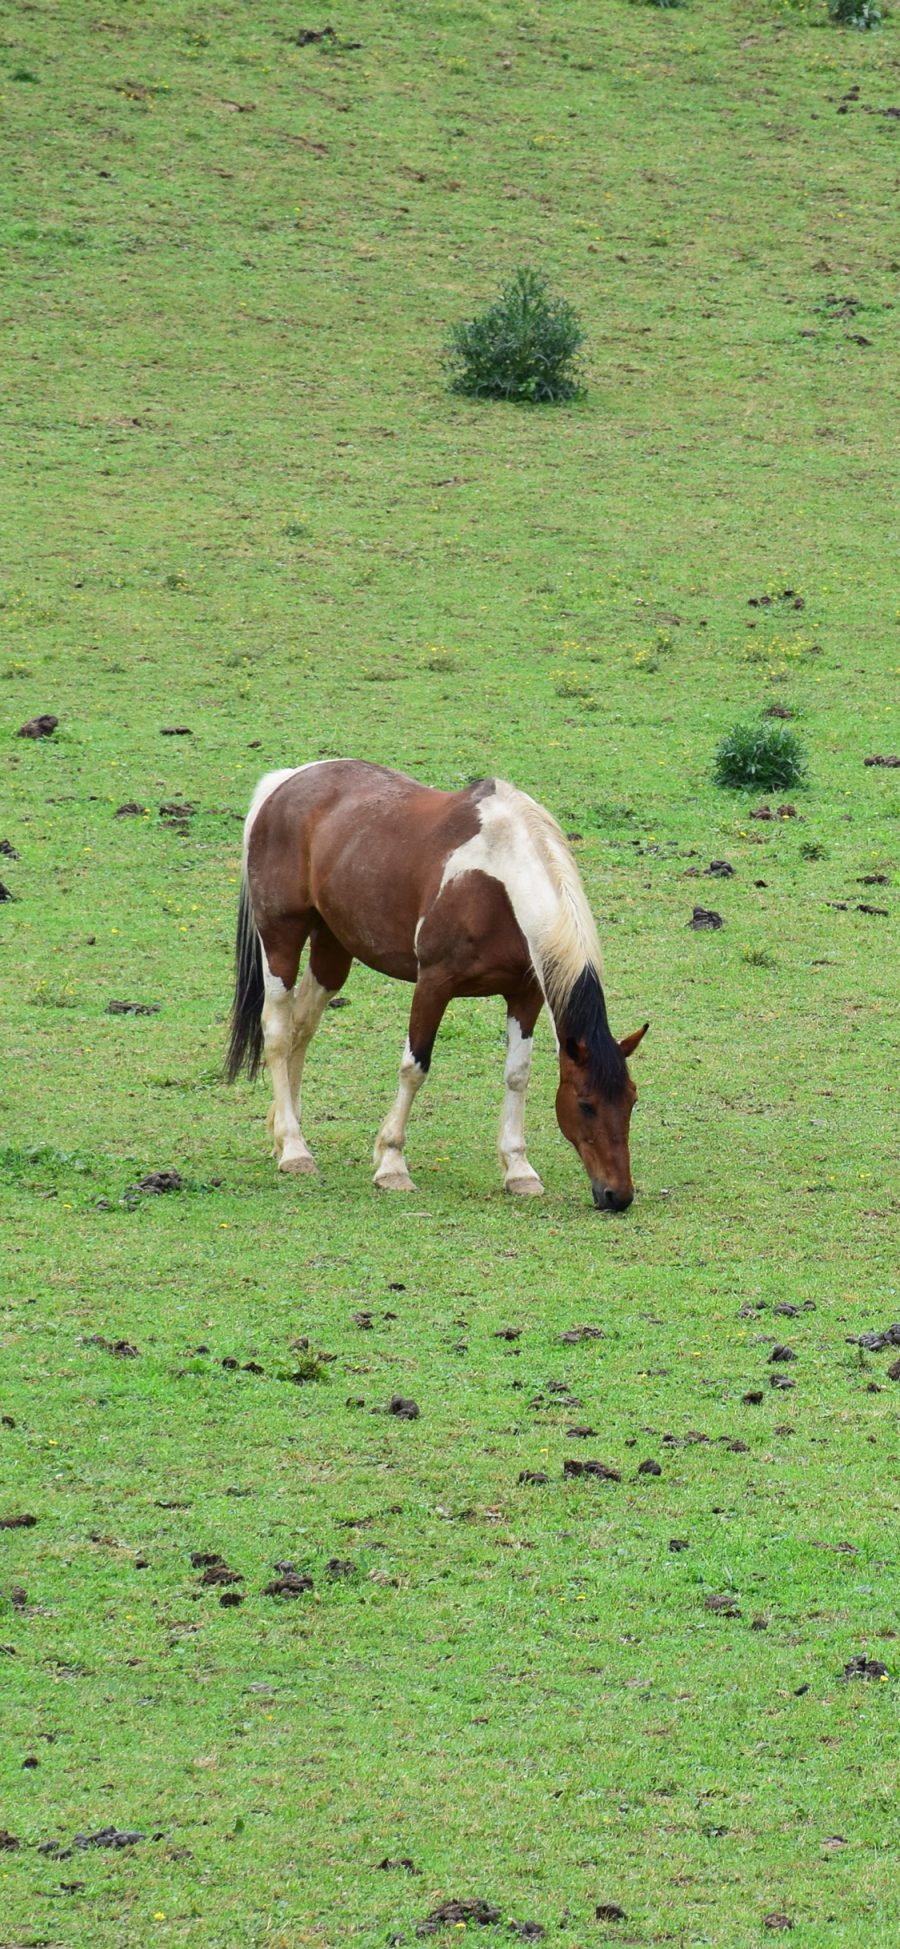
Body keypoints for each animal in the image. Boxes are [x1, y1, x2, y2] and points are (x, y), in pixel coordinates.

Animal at [225, 756, 646, 1200]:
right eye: (585, 1103)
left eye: (631, 1100)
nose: (618, 1196)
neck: (498, 880)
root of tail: (285, 781)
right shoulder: (433, 984)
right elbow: (414, 1067)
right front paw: (391, 1163)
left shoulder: (525, 994)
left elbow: (517, 1074)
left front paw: (518, 1169)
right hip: (281, 940)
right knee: (277, 1031)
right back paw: (293, 1149)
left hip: (332, 948)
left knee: (302, 1028)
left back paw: (285, 1131)